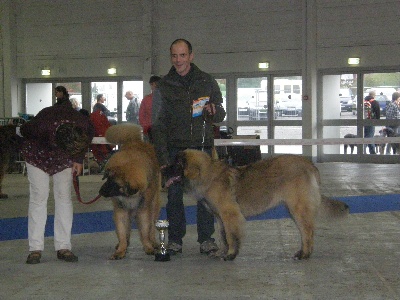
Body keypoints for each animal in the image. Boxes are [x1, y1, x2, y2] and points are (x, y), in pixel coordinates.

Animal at [99, 123, 161, 258]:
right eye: (107, 179)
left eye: (115, 184)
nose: (100, 192)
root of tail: (134, 140)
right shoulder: (121, 209)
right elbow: (122, 229)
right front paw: (121, 249)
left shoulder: (143, 209)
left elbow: (145, 229)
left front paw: (148, 246)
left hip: (154, 204)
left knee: (152, 225)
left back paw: (153, 241)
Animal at [167, 150, 348, 260]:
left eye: (177, 164)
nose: (163, 169)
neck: (208, 176)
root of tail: (309, 164)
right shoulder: (220, 218)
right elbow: (222, 236)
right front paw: (222, 252)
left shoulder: (230, 214)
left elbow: (231, 236)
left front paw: (231, 254)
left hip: (298, 208)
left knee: (307, 232)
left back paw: (304, 254)